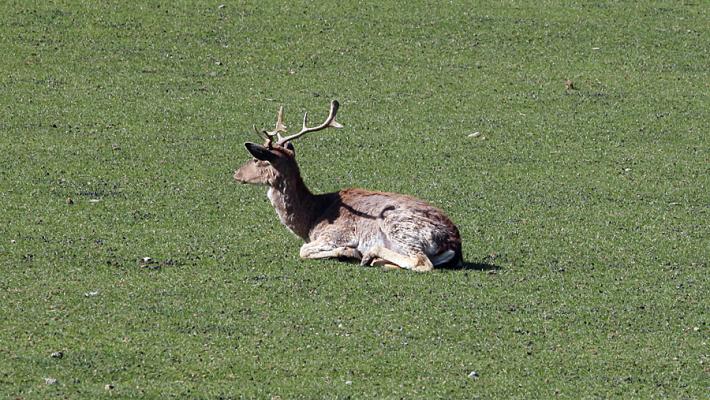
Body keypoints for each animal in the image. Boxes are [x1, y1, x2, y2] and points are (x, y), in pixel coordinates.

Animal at [233, 100, 462, 272]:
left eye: (256, 159)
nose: (236, 173)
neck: (311, 218)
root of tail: (455, 244)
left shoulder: (335, 235)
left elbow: (303, 250)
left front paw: (348, 252)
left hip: (398, 224)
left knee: (422, 262)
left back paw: (368, 255)